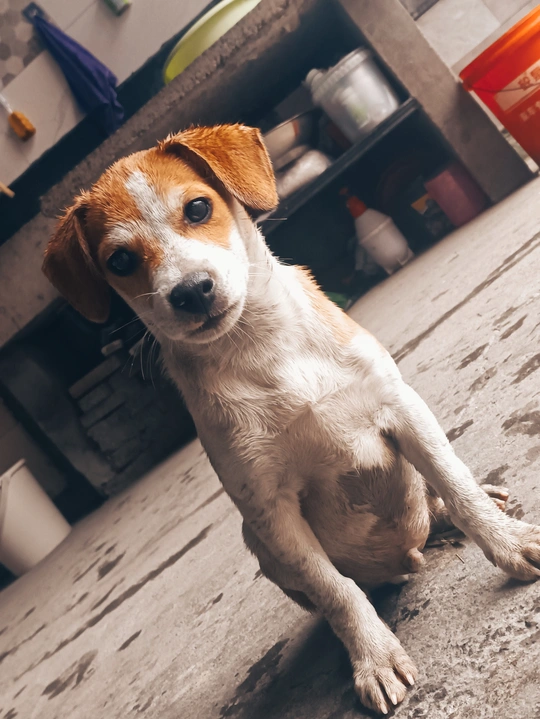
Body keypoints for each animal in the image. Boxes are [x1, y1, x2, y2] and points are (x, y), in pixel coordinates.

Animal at [43, 124, 540, 714]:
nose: (191, 292)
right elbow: (335, 590)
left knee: (434, 496)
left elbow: (457, 485)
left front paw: (509, 543)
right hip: (258, 544)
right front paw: (373, 656)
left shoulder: (403, 410)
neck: (262, 348)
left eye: (197, 208)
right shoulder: (269, 511)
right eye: (119, 260)